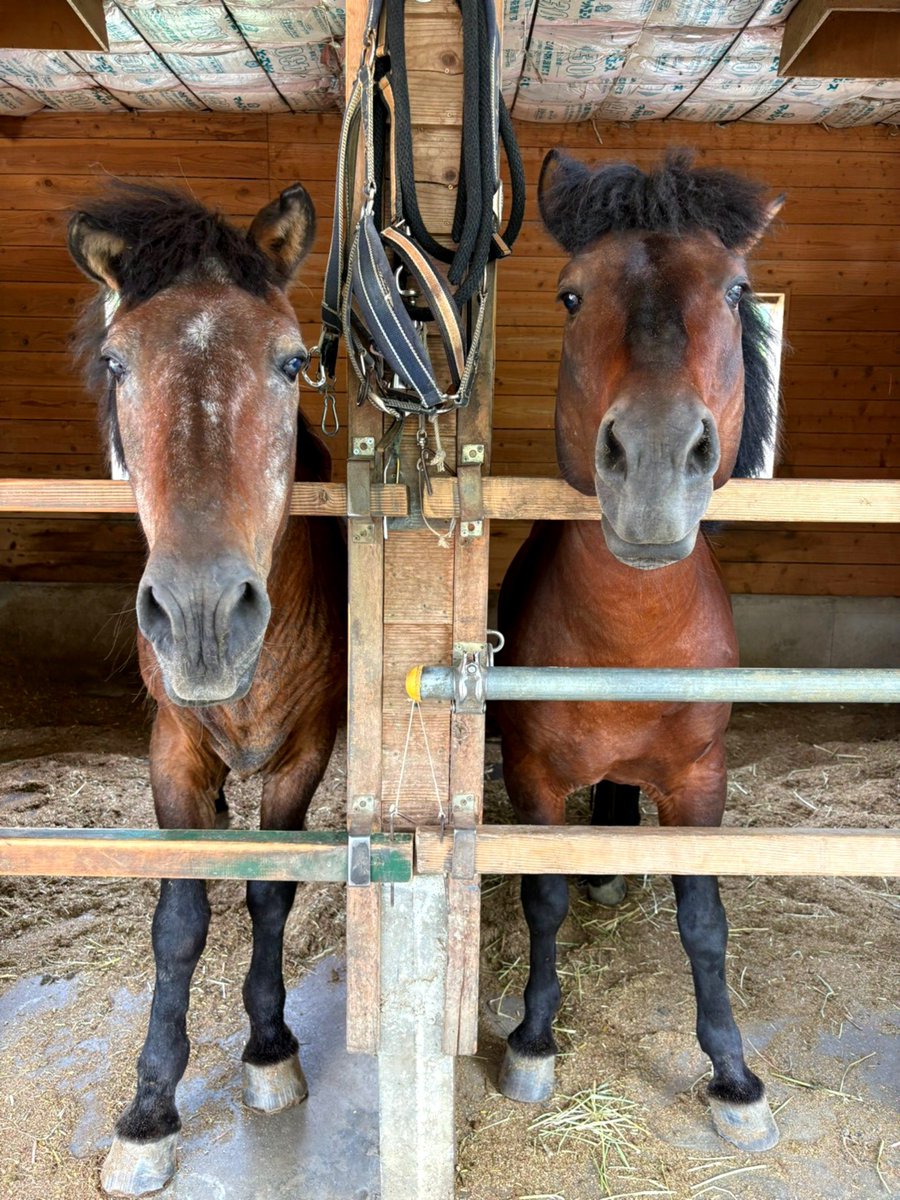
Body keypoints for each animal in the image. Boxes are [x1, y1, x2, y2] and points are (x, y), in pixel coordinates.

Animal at [68, 182, 347, 1196]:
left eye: (293, 360)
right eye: (117, 361)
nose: (198, 615)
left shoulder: (307, 752)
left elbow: (271, 893)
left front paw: (269, 1050)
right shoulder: (175, 751)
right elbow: (179, 921)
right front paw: (149, 1111)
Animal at [494, 150, 783, 1153]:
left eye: (734, 291)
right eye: (572, 296)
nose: (656, 460)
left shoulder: (701, 778)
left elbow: (705, 920)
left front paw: (734, 1077)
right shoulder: (532, 773)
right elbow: (539, 900)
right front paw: (532, 1039)